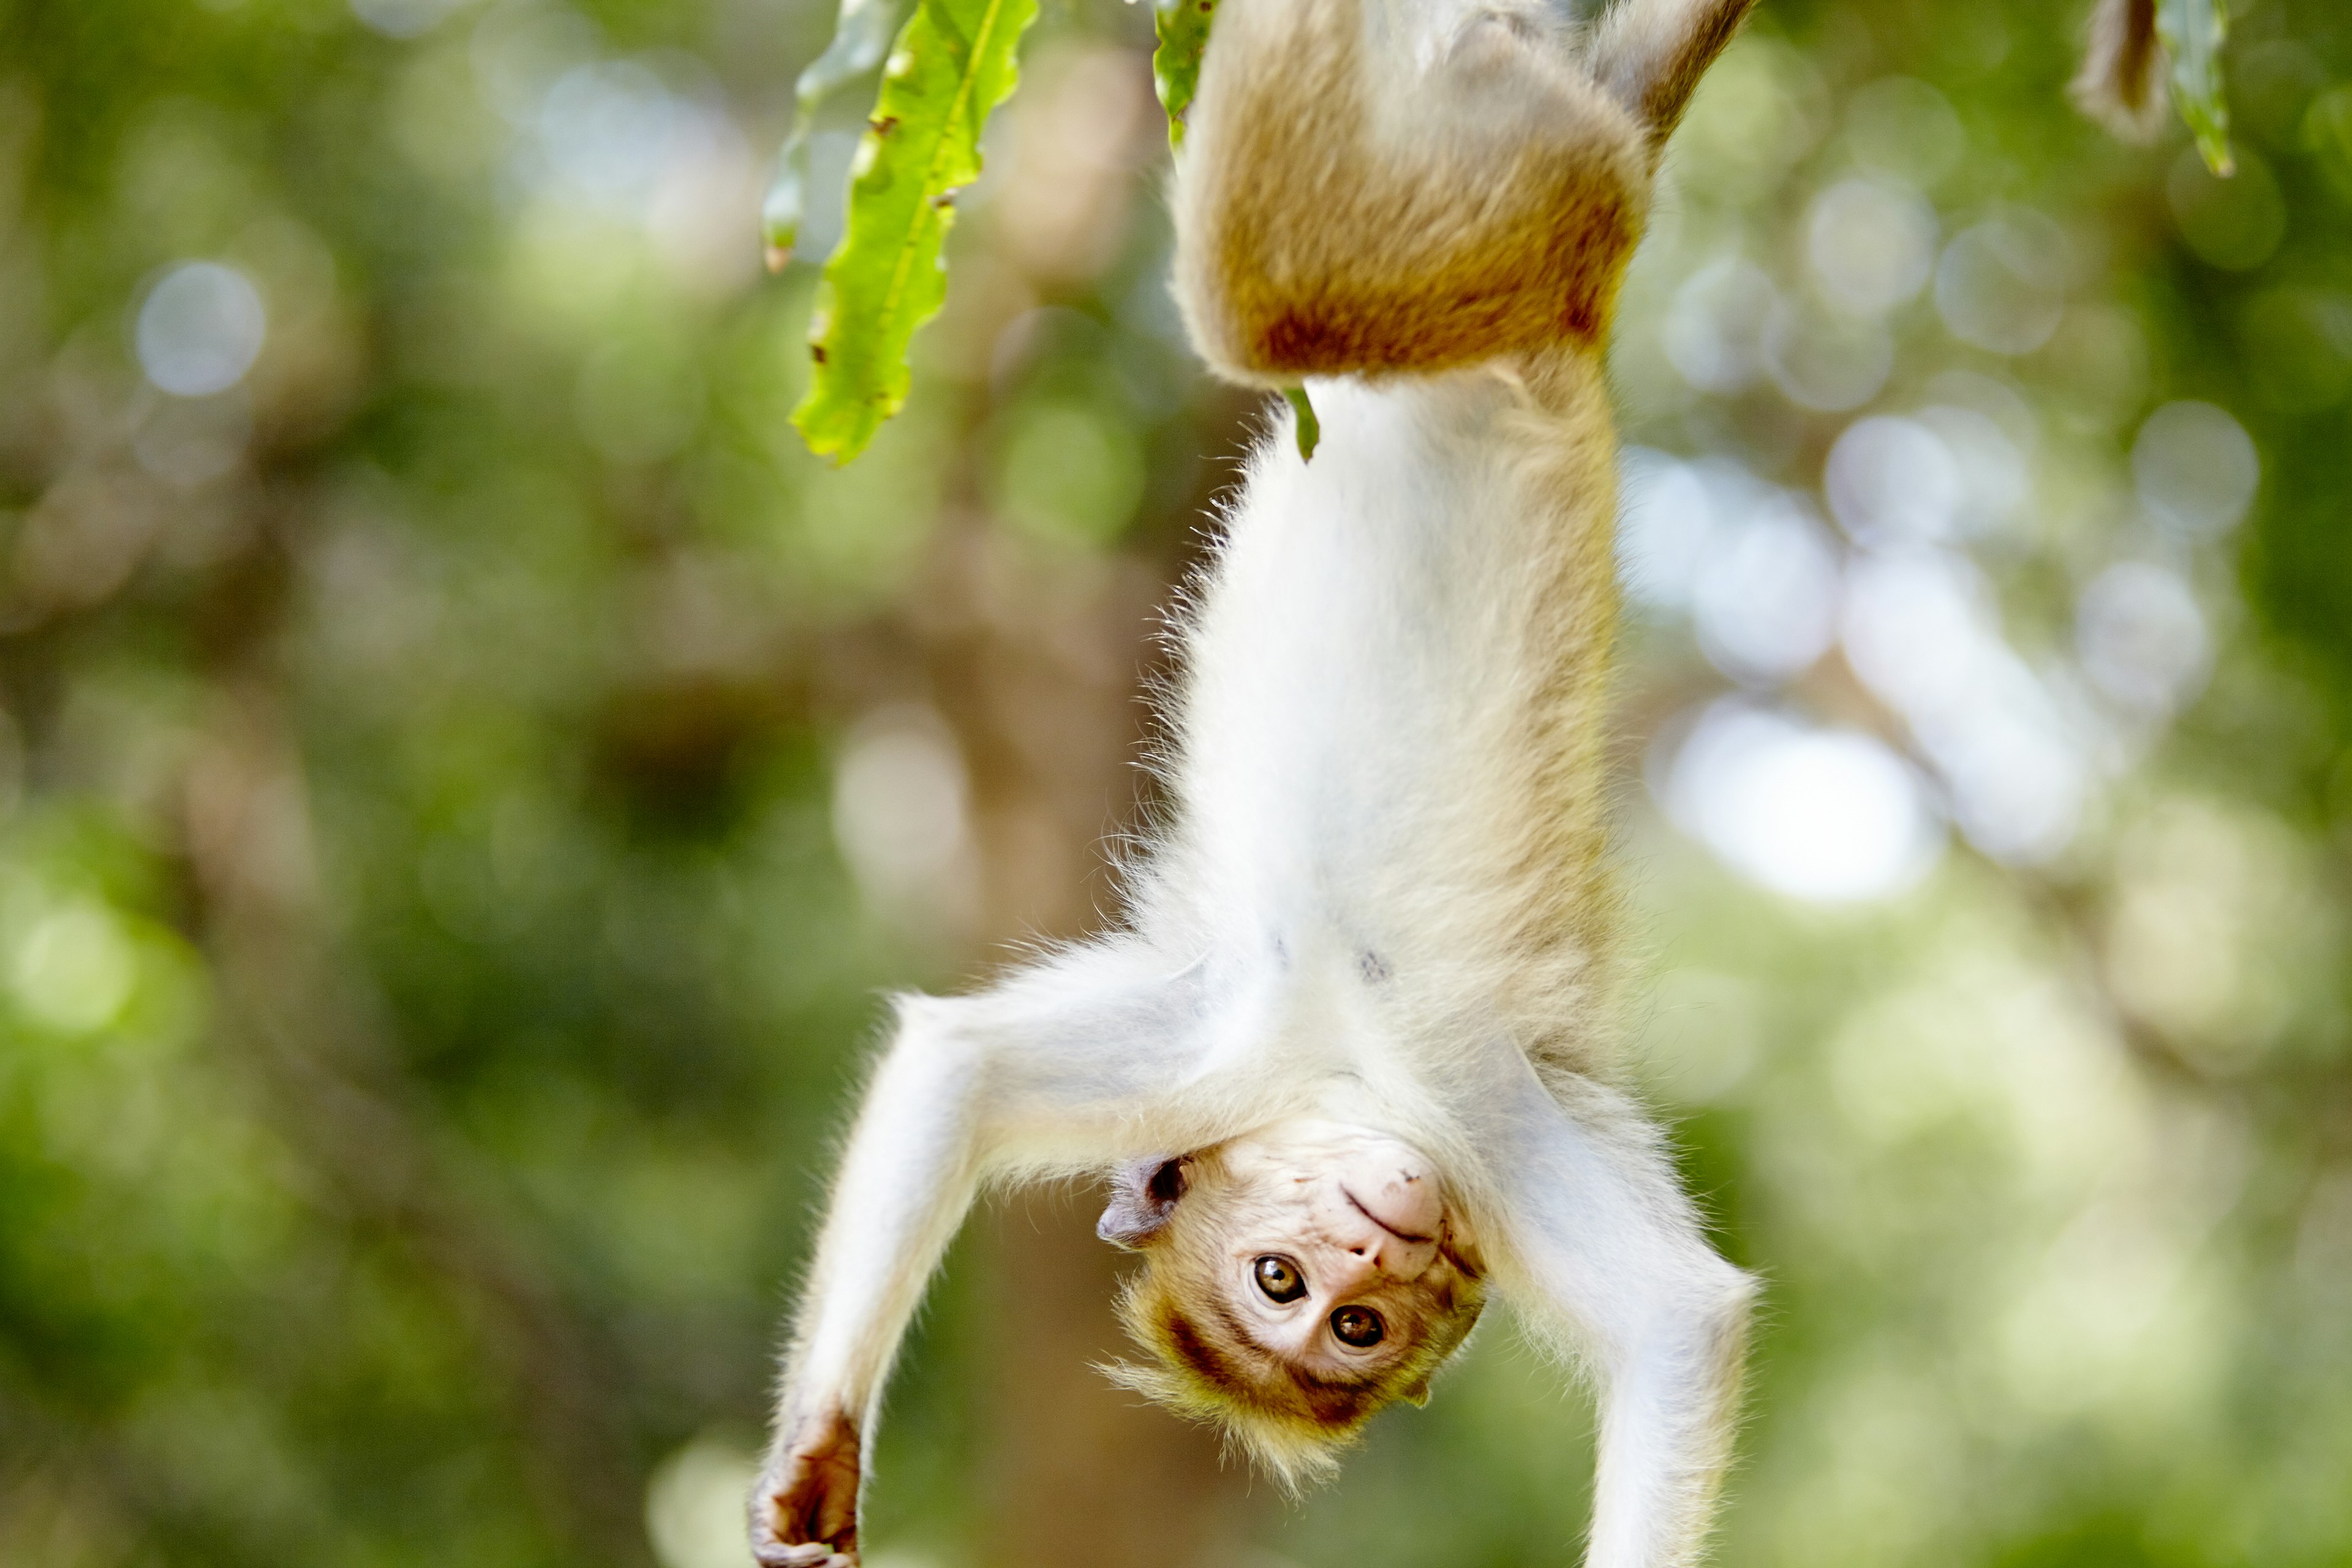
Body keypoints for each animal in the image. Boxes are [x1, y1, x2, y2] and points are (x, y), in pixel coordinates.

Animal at [752, 0, 1768, 1561]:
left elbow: (1679, 1325)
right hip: (1516, 191)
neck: (1326, 1056)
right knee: (1304, 276)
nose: (1375, 1237)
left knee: (1262, 298)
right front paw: (817, 1444)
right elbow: (961, 1065)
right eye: (1291, 1290)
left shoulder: (1463, 1114)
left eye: (1350, 1318)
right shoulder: (1226, 1046)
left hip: (1514, 216)